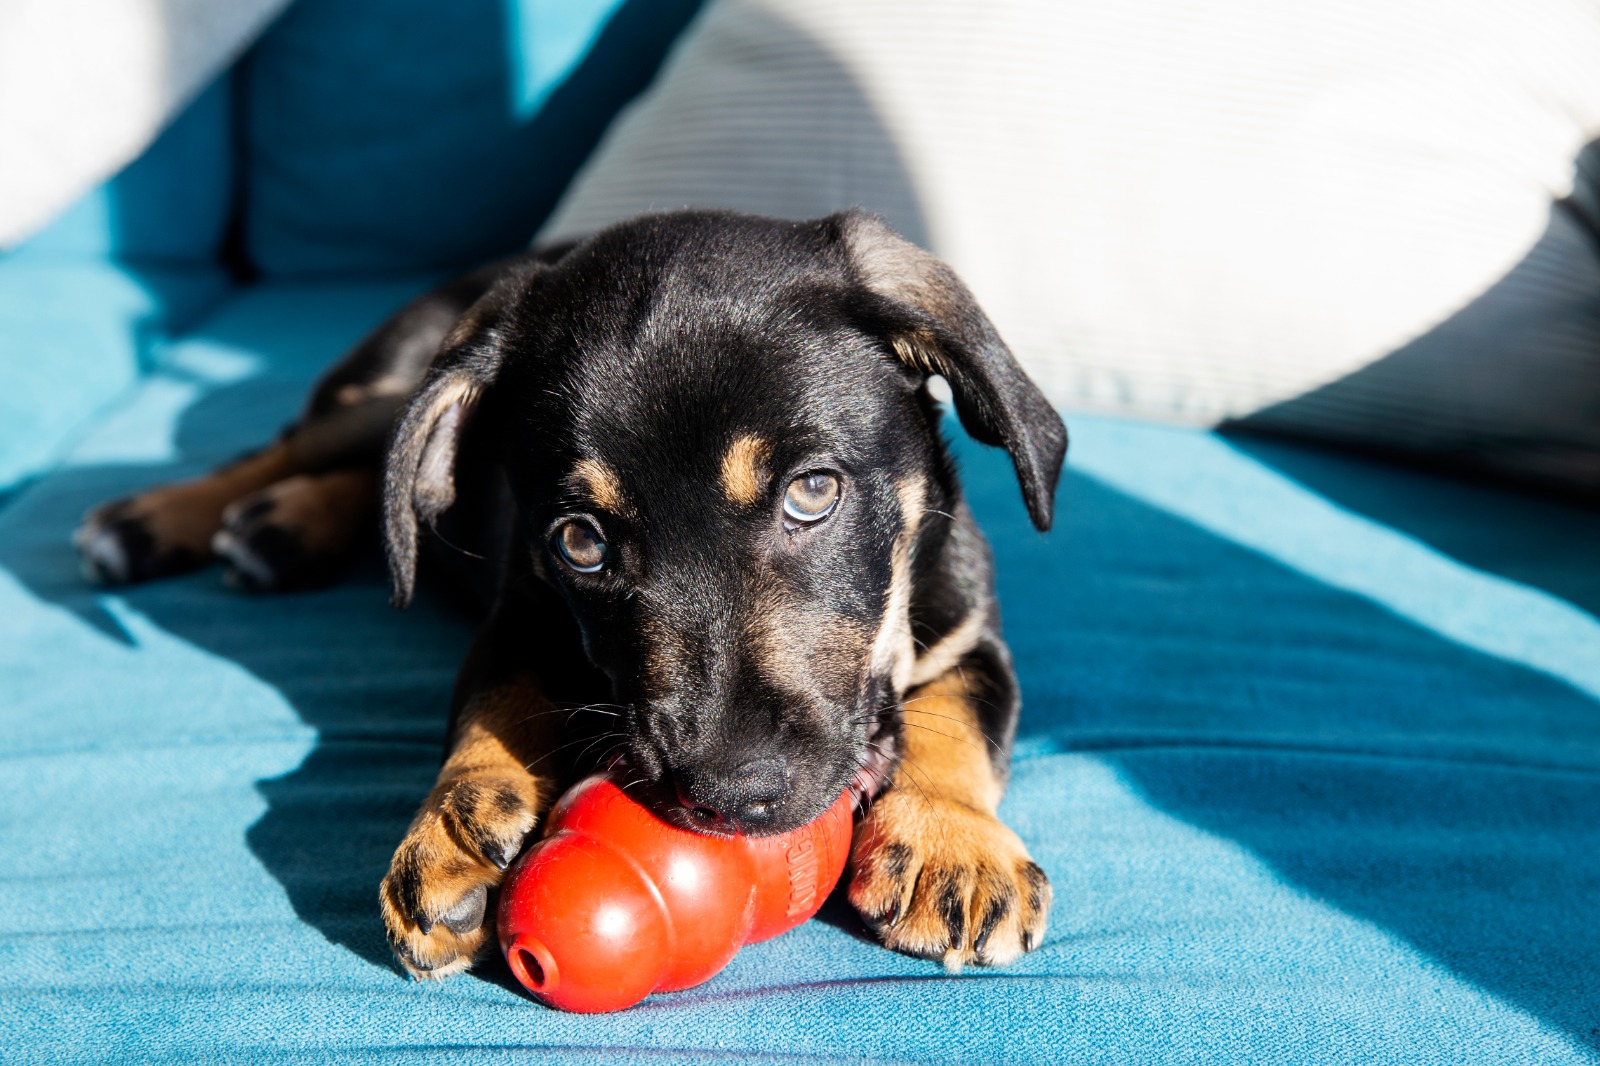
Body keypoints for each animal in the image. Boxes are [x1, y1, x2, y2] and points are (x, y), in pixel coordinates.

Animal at [81, 209, 1068, 979]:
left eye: (813, 492)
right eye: (582, 542)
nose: (729, 797)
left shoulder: (974, 632)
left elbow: (959, 718)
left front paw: (950, 844)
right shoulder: (520, 607)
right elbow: (492, 704)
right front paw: (455, 823)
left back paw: (277, 528)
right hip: (389, 392)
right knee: (302, 445)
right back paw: (157, 520)